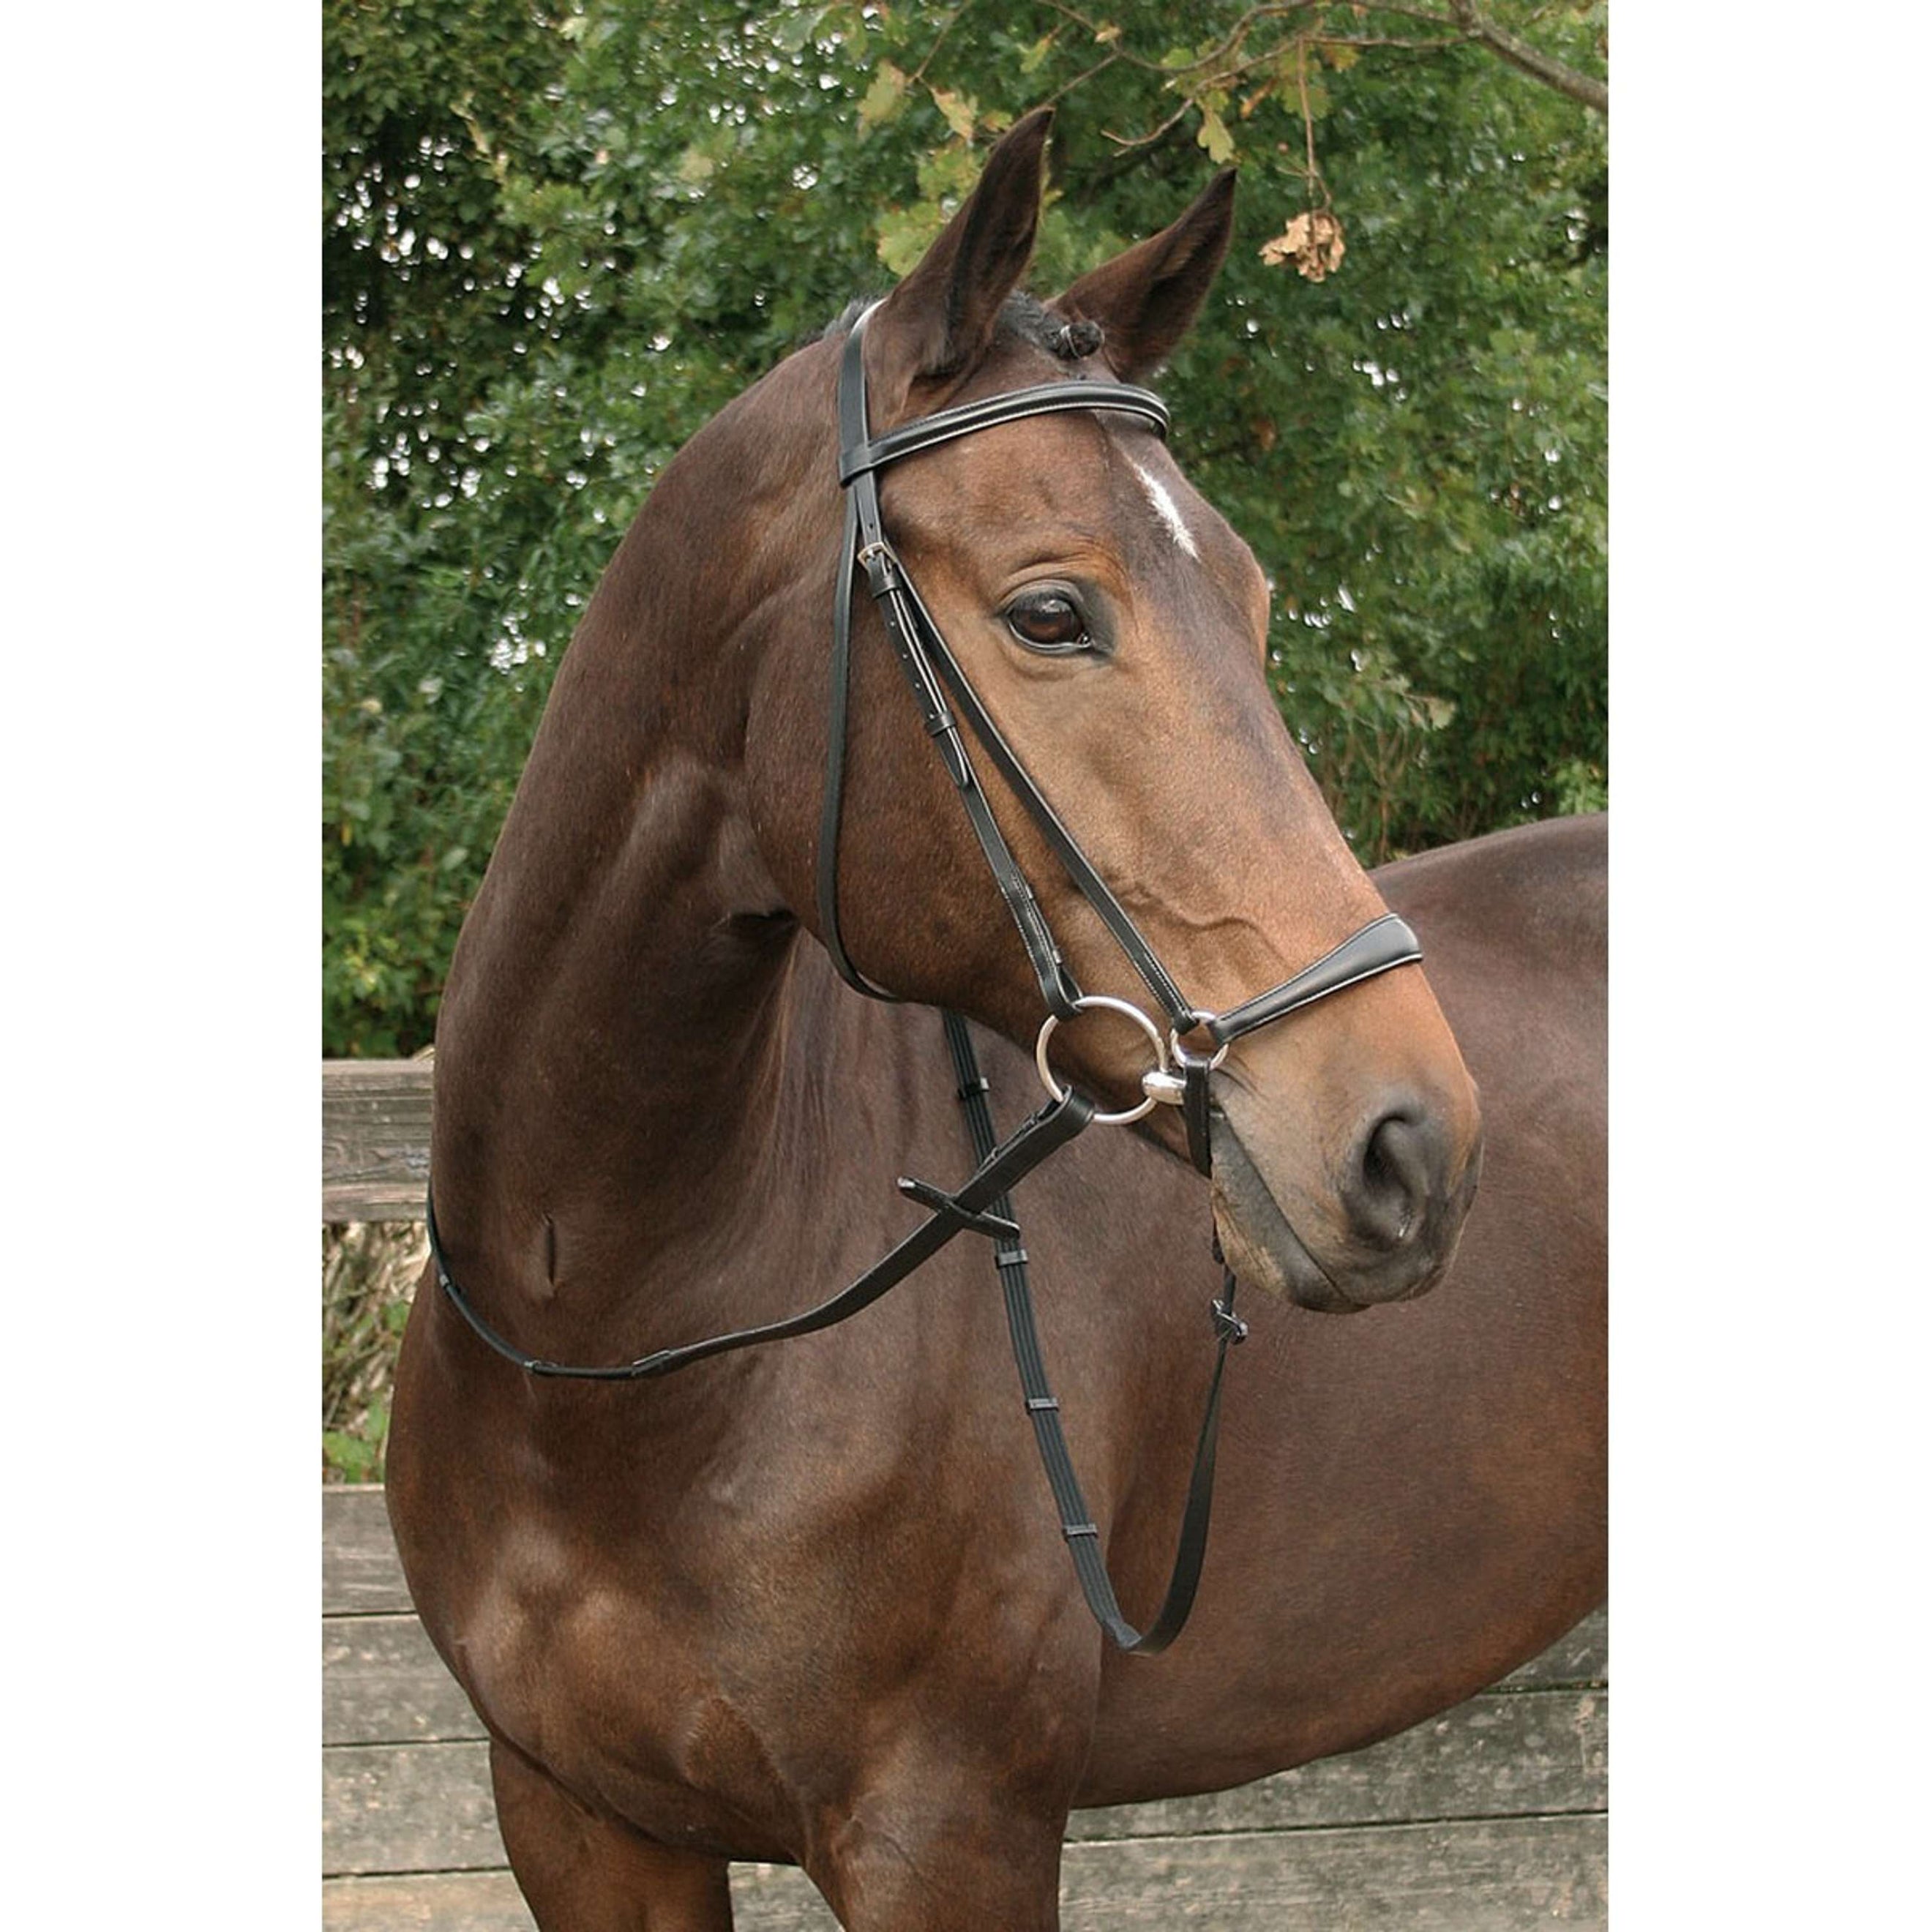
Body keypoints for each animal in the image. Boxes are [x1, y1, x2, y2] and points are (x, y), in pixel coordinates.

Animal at [388, 107, 1605, 1930]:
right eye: (1050, 613)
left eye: (1253, 610)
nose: (1410, 1146)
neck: (615, 1334)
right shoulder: (579, 1820)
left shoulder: (948, 1831)